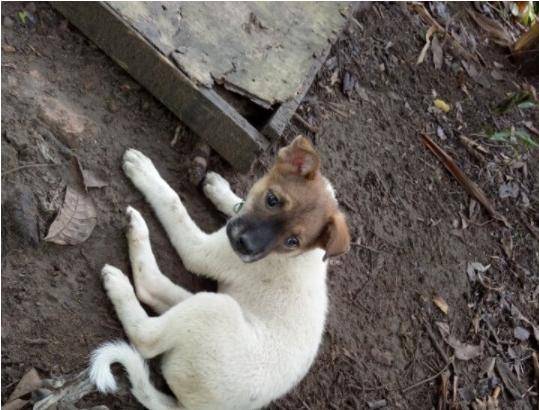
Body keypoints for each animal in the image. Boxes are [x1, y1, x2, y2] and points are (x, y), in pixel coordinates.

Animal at [90, 137, 352, 410]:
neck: (297, 256)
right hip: (214, 304)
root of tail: (190, 407)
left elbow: (173, 203)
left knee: (145, 332)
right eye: (272, 200)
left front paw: (145, 173)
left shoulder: (200, 250)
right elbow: (236, 204)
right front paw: (219, 189)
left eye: (292, 241)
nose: (245, 247)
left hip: (215, 310)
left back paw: (126, 264)